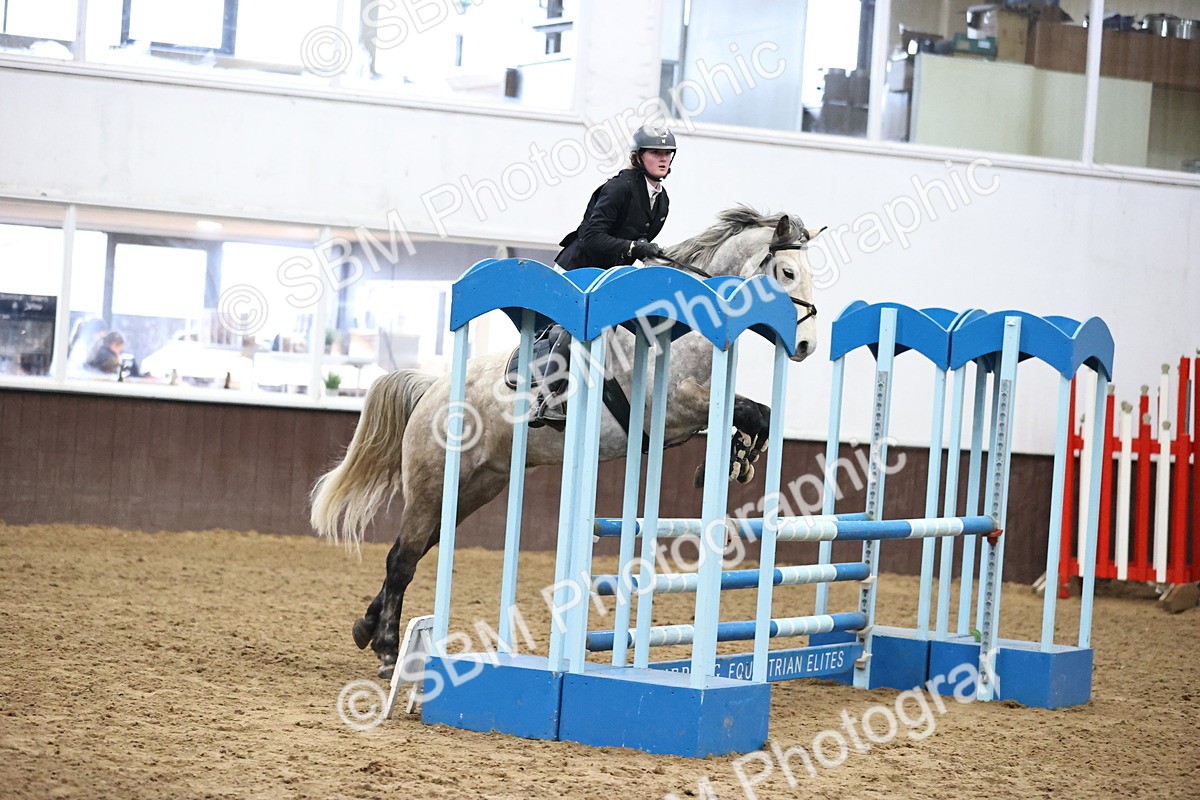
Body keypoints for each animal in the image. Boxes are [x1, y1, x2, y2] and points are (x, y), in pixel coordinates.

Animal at [311, 206, 823, 678]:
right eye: (788, 273)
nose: (806, 347)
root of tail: (431, 389)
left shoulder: (687, 419)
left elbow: (756, 412)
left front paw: (743, 455)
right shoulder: (672, 407)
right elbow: (747, 410)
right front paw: (741, 452)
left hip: (476, 487)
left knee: (417, 548)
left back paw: (366, 626)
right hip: (432, 482)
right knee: (402, 557)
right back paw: (388, 649)